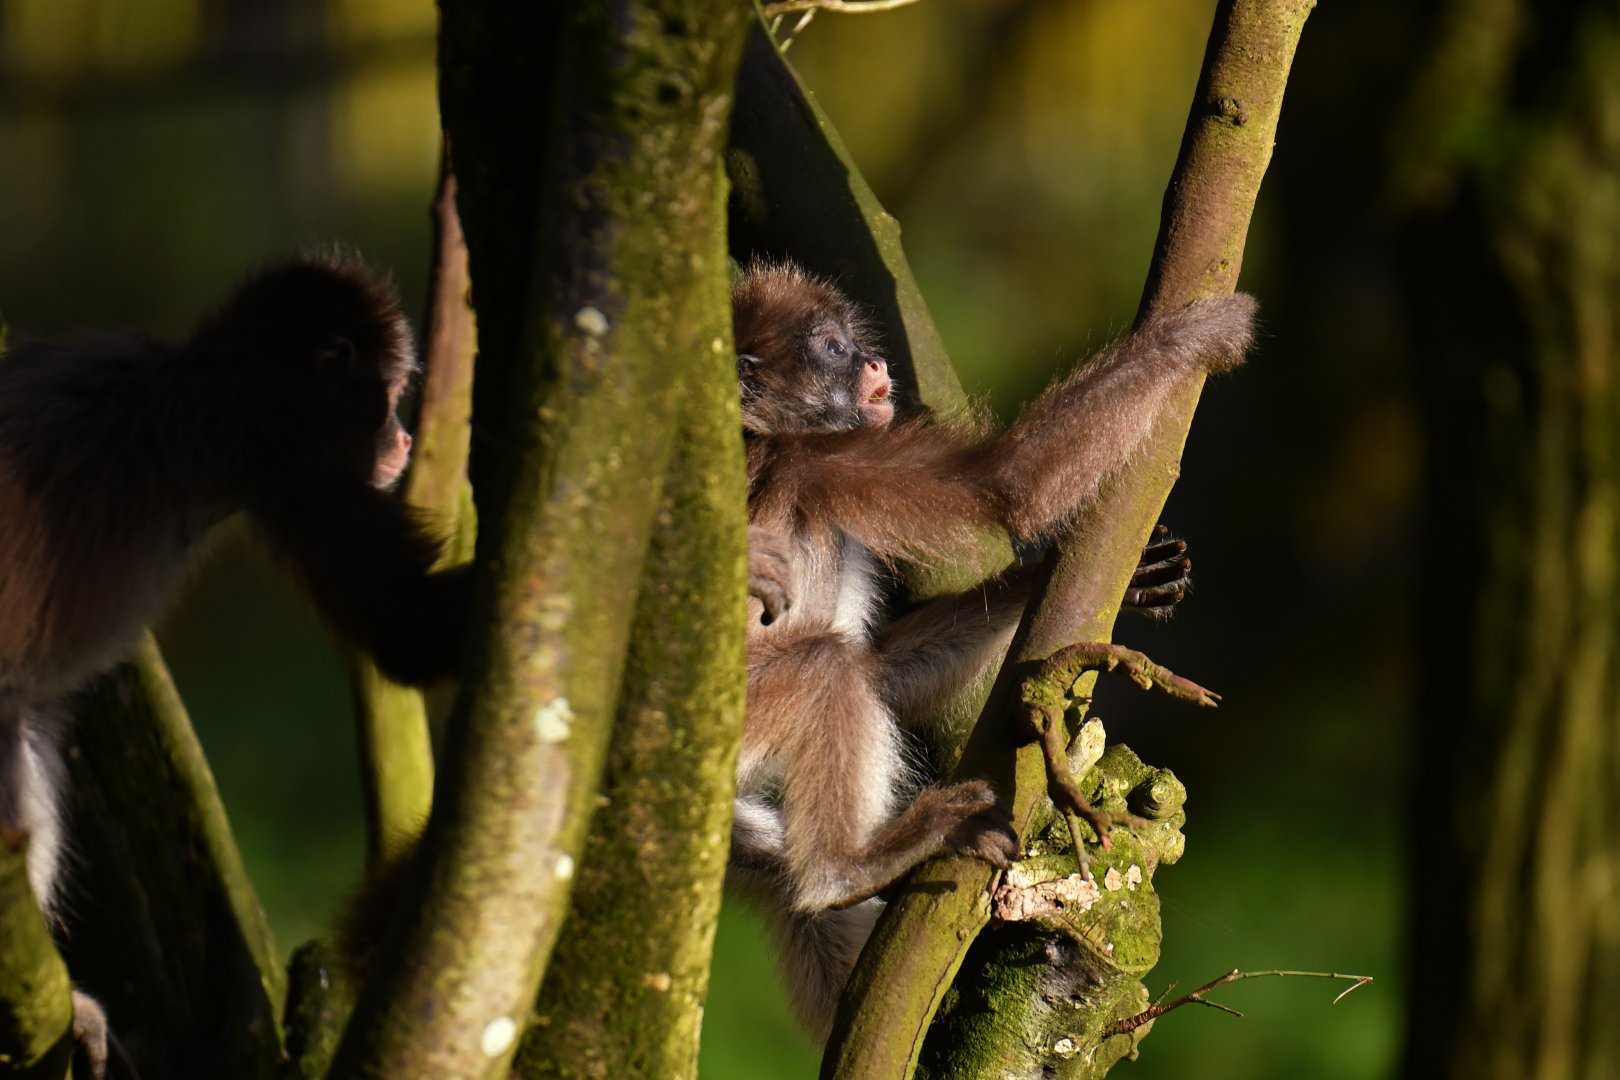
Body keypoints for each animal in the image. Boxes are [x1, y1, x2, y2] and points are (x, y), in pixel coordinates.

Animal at [725, 260, 1255, 1038]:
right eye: (832, 349)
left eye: (852, 342)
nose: (873, 362)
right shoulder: (823, 460)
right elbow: (1003, 486)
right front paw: (1188, 338)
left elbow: (886, 671)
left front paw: (1103, 581)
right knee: (826, 667)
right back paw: (846, 868)